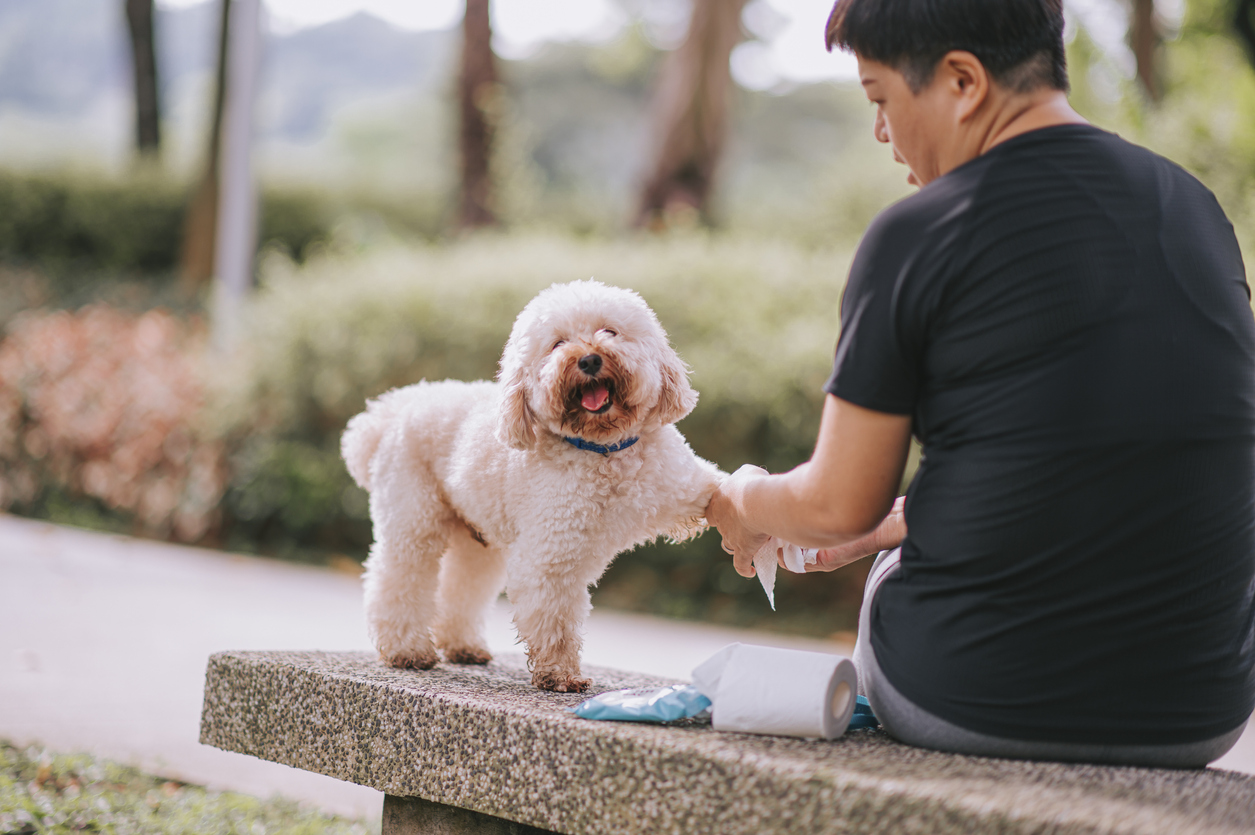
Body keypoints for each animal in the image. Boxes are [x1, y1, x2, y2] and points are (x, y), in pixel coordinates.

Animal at [338, 278, 722, 688]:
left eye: (610, 331)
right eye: (557, 343)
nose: (589, 360)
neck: (603, 450)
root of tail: (393, 408)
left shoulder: (680, 486)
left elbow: (718, 491)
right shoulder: (551, 557)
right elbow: (555, 620)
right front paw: (560, 674)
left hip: (478, 540)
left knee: (463, 586)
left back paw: (463, 645)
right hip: (413, 520)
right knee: (398, 579)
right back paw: (406, 650)